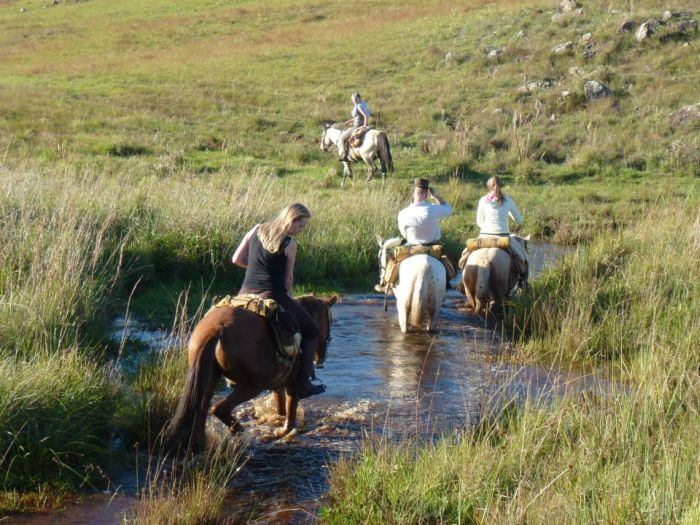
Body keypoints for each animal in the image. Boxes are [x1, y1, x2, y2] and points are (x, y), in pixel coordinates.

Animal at [165, 292, 338, 452]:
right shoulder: (293, 384)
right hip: (252, 386)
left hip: (209, 380)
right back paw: (240, 432)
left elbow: (281, 408)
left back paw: (200, 444)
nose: (321, 357)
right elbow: (290, 413)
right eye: (329, 320)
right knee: (220, 409)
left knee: (202, 411)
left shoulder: (279, 385)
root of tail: (216, 329)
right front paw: (286, 431)